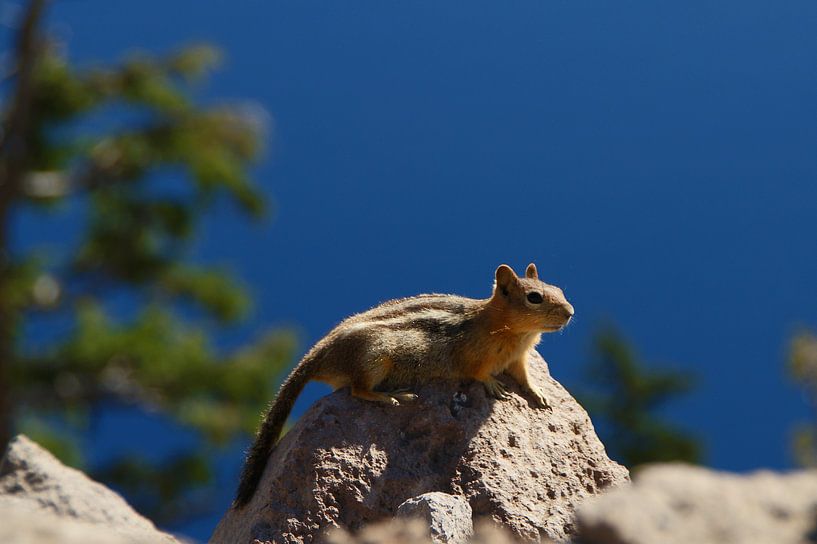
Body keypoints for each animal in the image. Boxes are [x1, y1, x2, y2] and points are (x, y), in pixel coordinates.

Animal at [232, 263, 574, 508]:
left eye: (558, 289)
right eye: (534, 297)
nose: (571, 312)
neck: (508, 329)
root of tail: (319, 355)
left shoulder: (519, 360)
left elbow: (525, 378)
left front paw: (539, 394)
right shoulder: (472, 356)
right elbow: (478, 374)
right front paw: (493, 385)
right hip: (374, 358)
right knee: (357, 390)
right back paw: (391, 396)